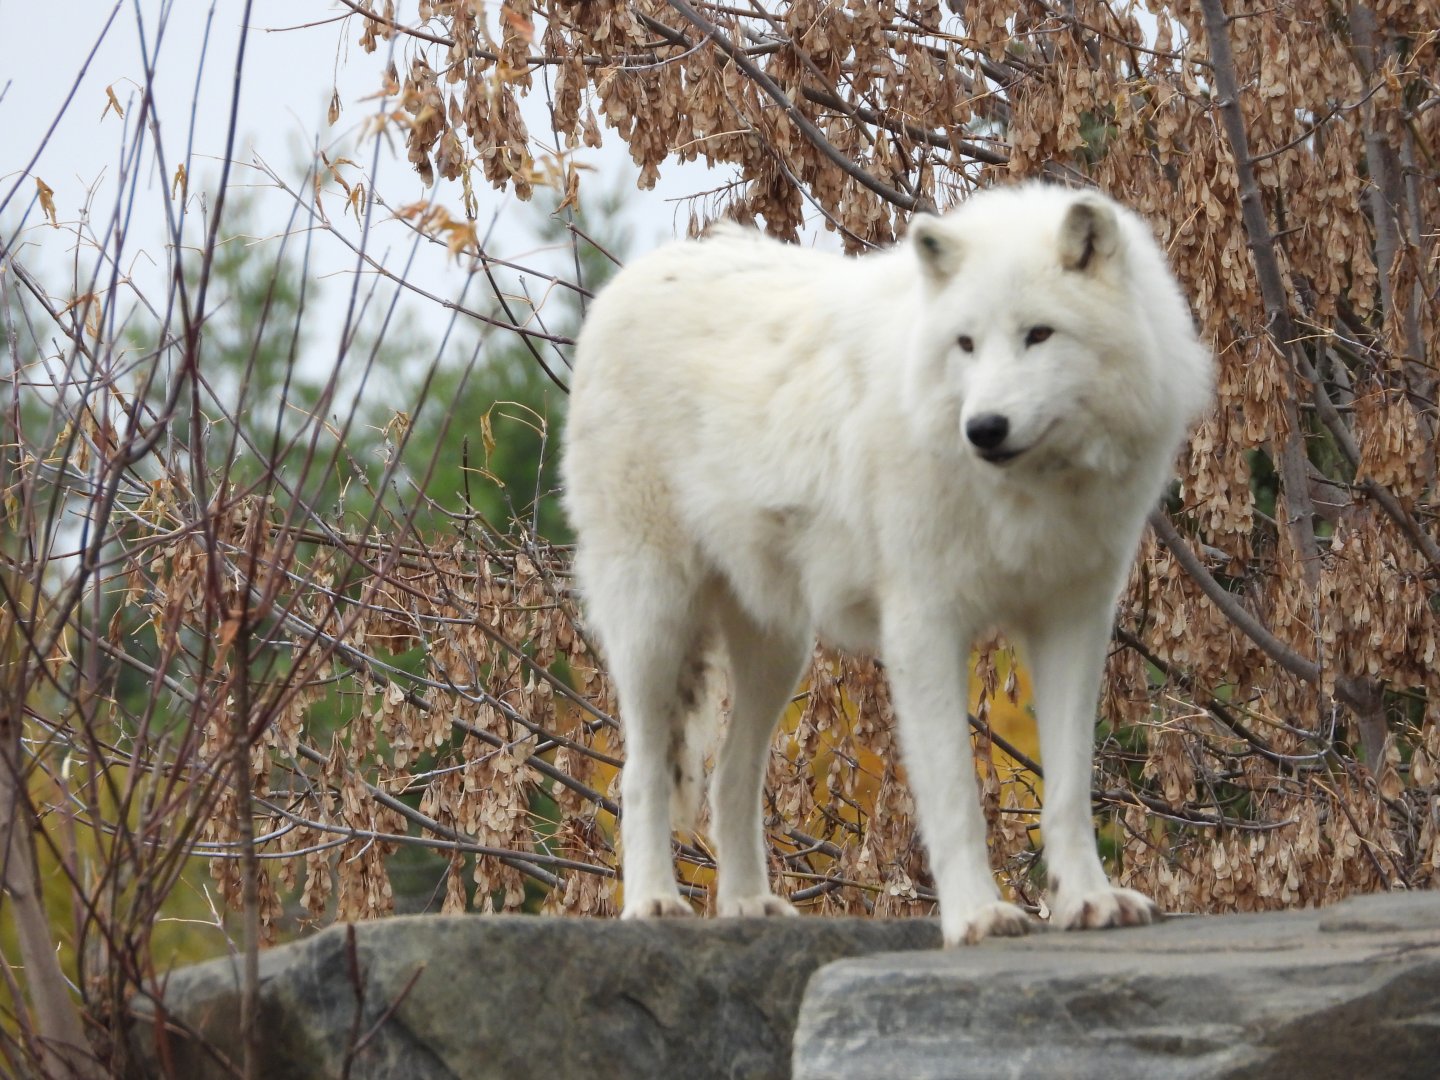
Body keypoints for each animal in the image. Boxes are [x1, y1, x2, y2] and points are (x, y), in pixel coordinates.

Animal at [562, 184, 1213, 946]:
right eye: (966, 344)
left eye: (1039, 335)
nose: (983, 429)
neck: (1026, 493)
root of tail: (630, 280)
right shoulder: (924, 626)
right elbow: (956, 795)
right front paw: (977, 915)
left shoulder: (1073, 622)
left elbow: (1071, 789)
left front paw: (1089, 901)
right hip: (655, 624)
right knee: (638, 777)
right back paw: (654, 903)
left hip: (777, 651)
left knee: (730, 780)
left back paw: (750, 904)